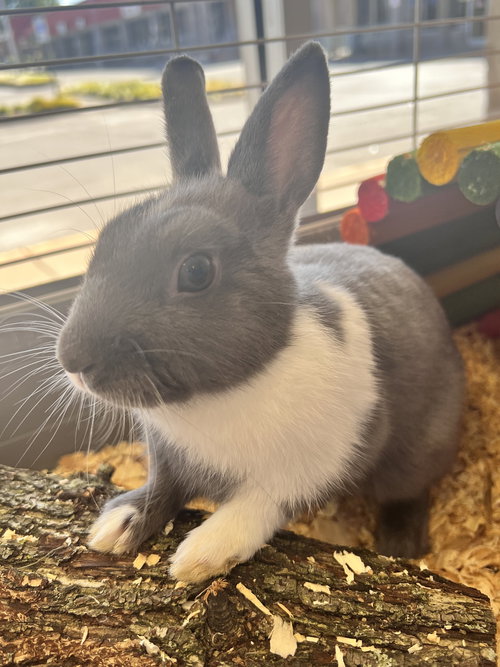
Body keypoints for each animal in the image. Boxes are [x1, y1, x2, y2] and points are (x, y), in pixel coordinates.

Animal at [56, 42, 464, 583]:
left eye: (196, 271)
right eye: (106, 240)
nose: (72, 360)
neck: (218, 397)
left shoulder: (308, 468)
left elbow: (257, 505)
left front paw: (201, 555)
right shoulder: (167, 457)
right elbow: (162, 489)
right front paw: (117, 525)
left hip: (417, 449)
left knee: (409, 490)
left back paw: (401, 543)